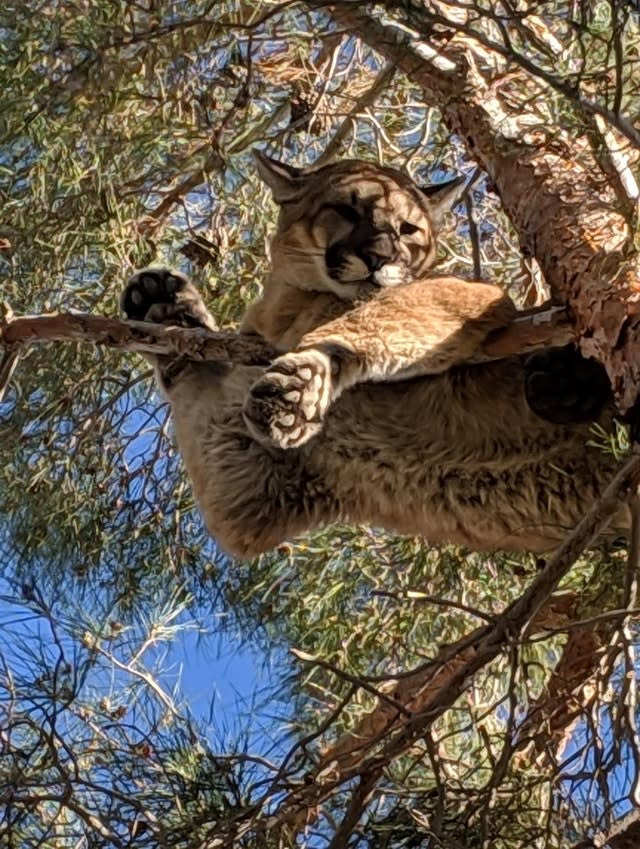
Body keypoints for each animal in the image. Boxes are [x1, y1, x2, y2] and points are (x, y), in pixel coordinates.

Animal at [121, 149, 624, 556]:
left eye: (409, 228)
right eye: (345, 209)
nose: (381, 256)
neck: (289, 306)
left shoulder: (469, 292)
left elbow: (370, 321)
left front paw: (303, 382)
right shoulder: (254, 483)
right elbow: (199, 398)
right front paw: (166, 311)